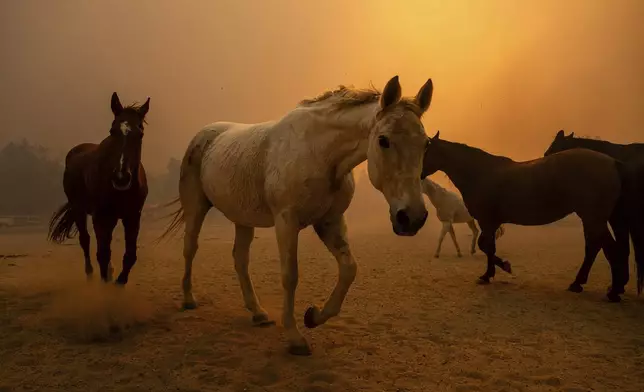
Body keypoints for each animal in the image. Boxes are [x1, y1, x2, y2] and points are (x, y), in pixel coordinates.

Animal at [47, 92, 150, 284]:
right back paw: (89, 272)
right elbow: (102, 253)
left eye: (140, 134)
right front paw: (106, 285)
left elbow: (130, 255)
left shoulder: (133, 216)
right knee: (85, 240)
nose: (121, 178)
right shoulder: (100, 217)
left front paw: (119, 281)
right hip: (79, 210)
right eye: (112, 131)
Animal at [159, 75, 436, 354]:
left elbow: (349, 269)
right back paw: (189, 299)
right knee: (190, 248)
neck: (319, 154)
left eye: (426, 144)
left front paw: (314, 316)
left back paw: (258, 313)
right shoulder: (286, 222)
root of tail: (204, 134)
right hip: (196, 208)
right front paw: (295, 337)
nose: (412, 217)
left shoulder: (330, 221)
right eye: (383, 140)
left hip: (243, 219)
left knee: (240, 259)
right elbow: (290, 276)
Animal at [422, 130, 628, 302]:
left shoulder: (487, 221)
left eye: (425, 150)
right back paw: (594, 286)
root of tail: (612, 162)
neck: (480, 173)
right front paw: (490, 273)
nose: (419, 175)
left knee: (602, 247)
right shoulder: (491, 222)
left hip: (593, 218)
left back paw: (608, 290)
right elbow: (488, 246)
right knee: (599, 247)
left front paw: (499, 269)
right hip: (593, 218)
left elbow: (485, 246)